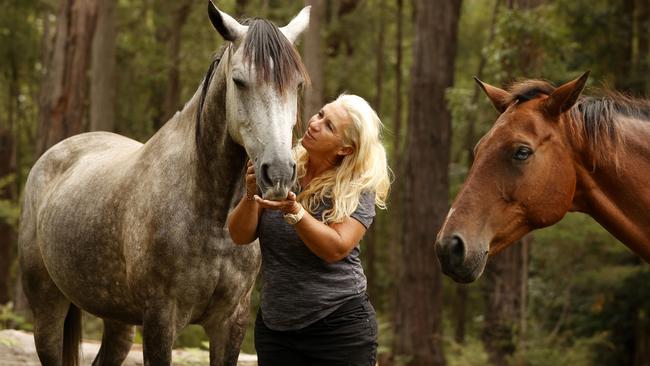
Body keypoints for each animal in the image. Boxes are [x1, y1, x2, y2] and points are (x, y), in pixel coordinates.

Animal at [15, 1, 308, 364]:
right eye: (239, 81)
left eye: (297, 84)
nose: (278, 172)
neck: (213, 216)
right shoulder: (160, 319)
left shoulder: (230, 322)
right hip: (48, 309)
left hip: (118, 319)